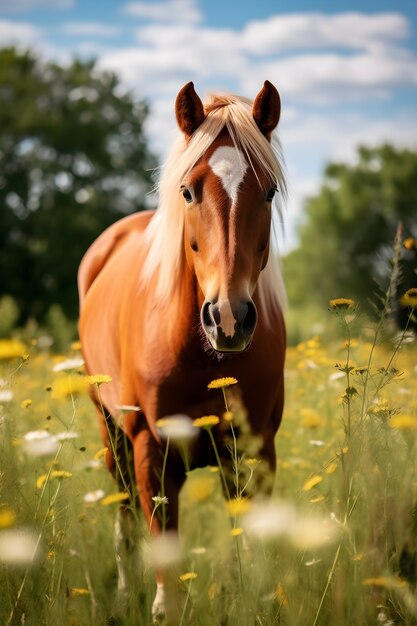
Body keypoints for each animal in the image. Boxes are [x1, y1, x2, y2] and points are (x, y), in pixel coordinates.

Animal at [77, 79, 286, 620]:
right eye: (188, 191)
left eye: (269, 190)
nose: (229, 317)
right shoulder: (154, 454)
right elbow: (166, 581)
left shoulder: (256, 454)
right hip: (112, 433)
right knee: (124, 511)